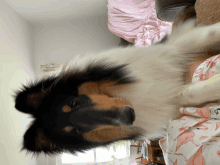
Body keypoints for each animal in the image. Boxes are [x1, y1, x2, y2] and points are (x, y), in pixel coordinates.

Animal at [13, 20, 220, 155]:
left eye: (73, 103)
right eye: (76, 130)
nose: (127, 116)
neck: (127, 94)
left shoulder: (174, 48)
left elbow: (211, 33)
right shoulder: (170, 102)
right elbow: (187, 94)